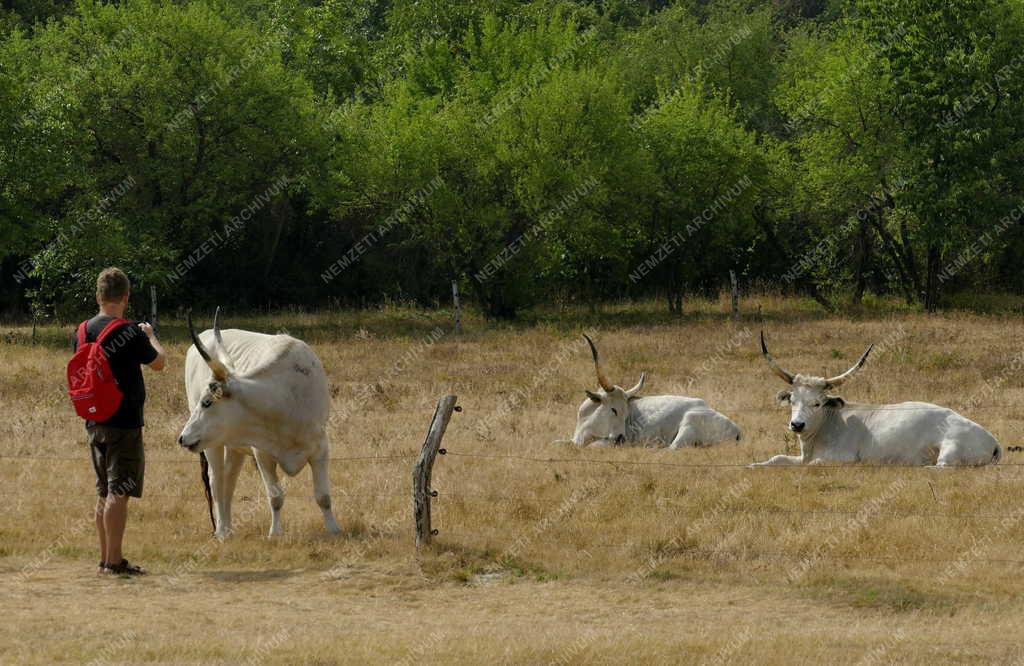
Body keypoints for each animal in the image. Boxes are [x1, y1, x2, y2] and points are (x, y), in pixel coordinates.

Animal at [178, 309, 342, 536]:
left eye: (207, 402)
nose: (182, 437)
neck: (287, 398)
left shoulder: (321, 449)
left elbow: (323, 496)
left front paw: (334, 529)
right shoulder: (262, 454)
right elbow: (275, 497)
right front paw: (275, 533)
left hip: (234, 446)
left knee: (228, 480)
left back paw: (228, 528)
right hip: (212, 444)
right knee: (217, 481)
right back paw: (221, 531)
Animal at [573, 334, 741, 448]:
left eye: (626, 414)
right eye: (613, 410)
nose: (621, 439)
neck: (585, 422)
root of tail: (736, 429)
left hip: (689, 422)